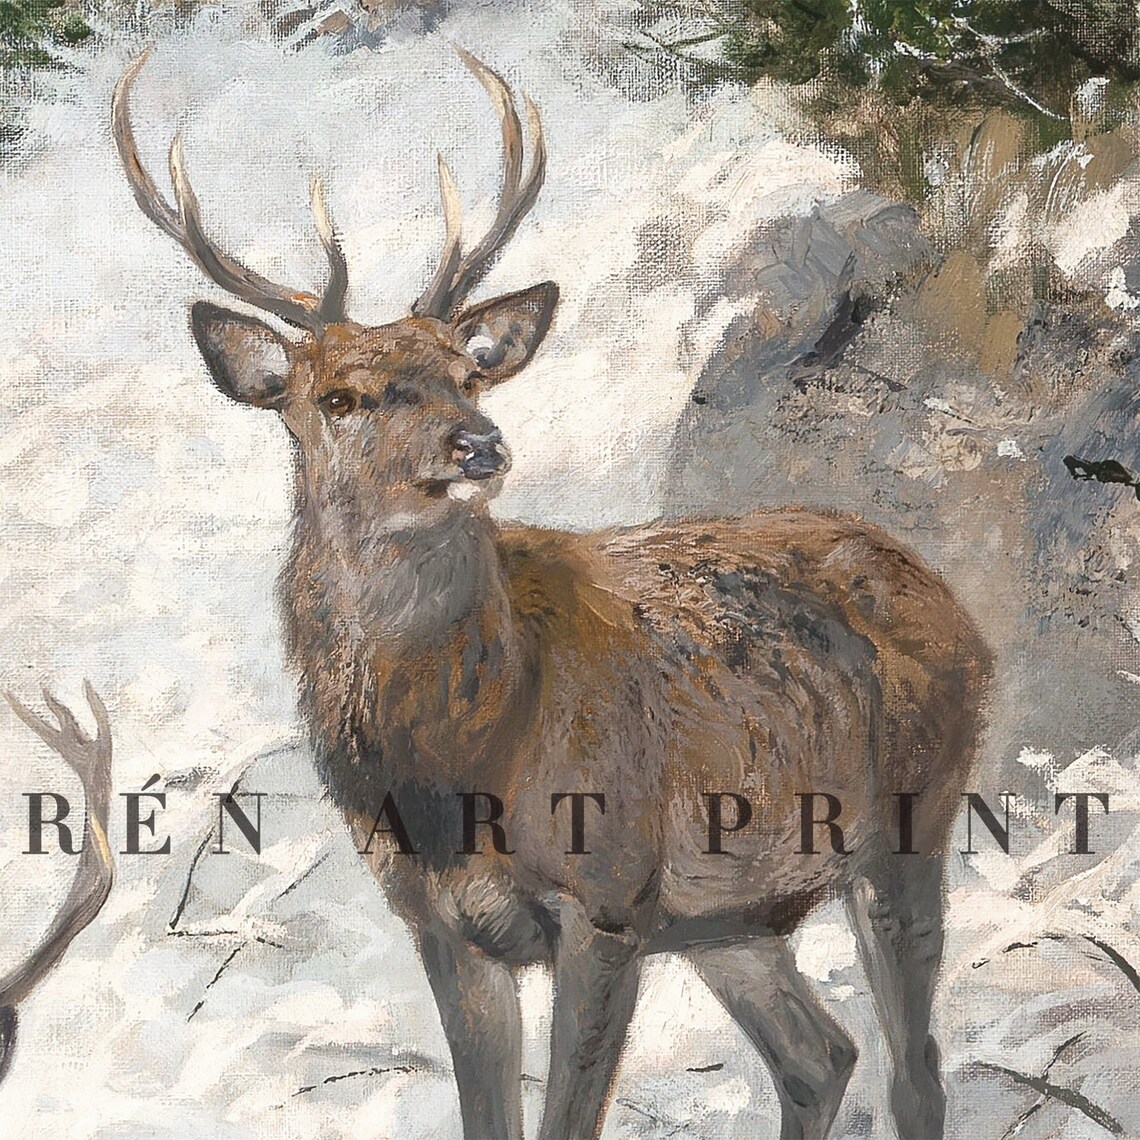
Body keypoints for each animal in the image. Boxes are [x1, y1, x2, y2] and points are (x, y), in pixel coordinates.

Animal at [113, 48, 991, 1140]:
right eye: (338, 397)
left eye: (467, 374)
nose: (479, 445)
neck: (464, 754)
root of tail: (947, 596)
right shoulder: (441, 922)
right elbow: (486, 1113)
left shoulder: (607, 893)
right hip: (729, 913)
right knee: (820, 1055)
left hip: (913, 818)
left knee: (915, 1068)